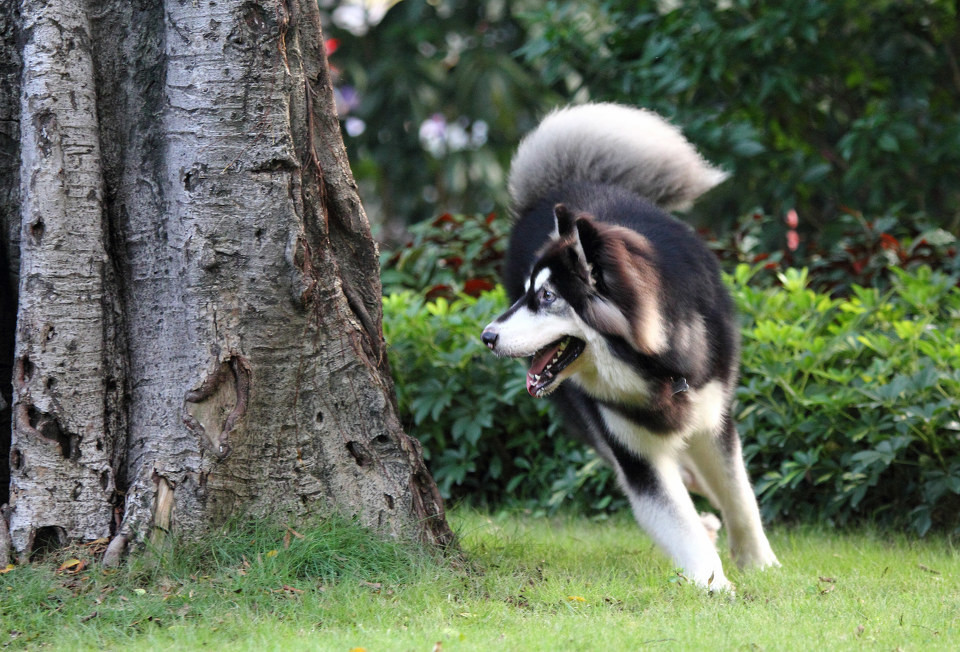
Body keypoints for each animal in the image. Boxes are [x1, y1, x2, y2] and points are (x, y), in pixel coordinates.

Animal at [480, 103, 780, 592]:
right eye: (524, 293)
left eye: (547, 297)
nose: (487, 336)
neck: (654, 365)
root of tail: (561, 185)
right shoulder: (633, 451)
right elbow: (678, 519)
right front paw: (714, 581)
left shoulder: (713, 417)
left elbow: (741, 496)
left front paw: (759, 563)